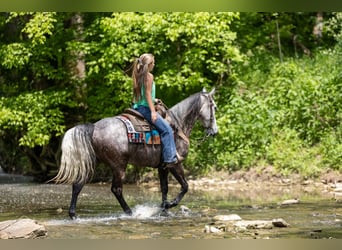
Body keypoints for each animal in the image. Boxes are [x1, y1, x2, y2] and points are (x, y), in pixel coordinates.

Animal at [53, 88, 219, 219]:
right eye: (214, 107)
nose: (215, 131)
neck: (177, 125)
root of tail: (93, 127)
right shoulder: (175, 164)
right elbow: (185, 186)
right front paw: (169, 205)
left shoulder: (162, 167)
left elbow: (164, 188)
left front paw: (164, 209)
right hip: (119, 166)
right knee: (116, 189)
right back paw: (130, 212)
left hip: (93, 163)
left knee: (78, 184)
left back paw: (73, 215)